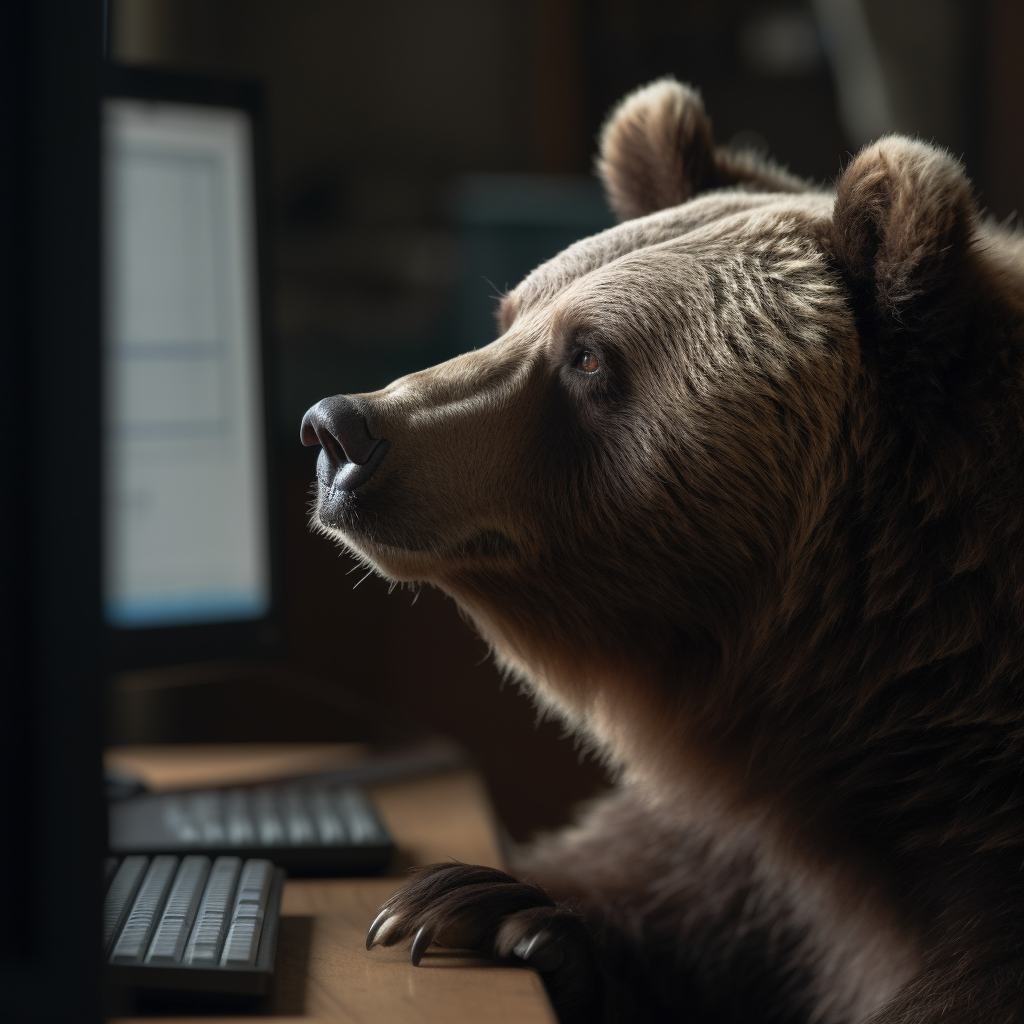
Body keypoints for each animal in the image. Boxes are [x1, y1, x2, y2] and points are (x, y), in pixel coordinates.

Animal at [299, 81, 1019, 1024]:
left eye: (590, 355)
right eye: (510, 316)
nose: (339, 430)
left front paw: (457, 903)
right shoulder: (745, 869)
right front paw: (482, 903)